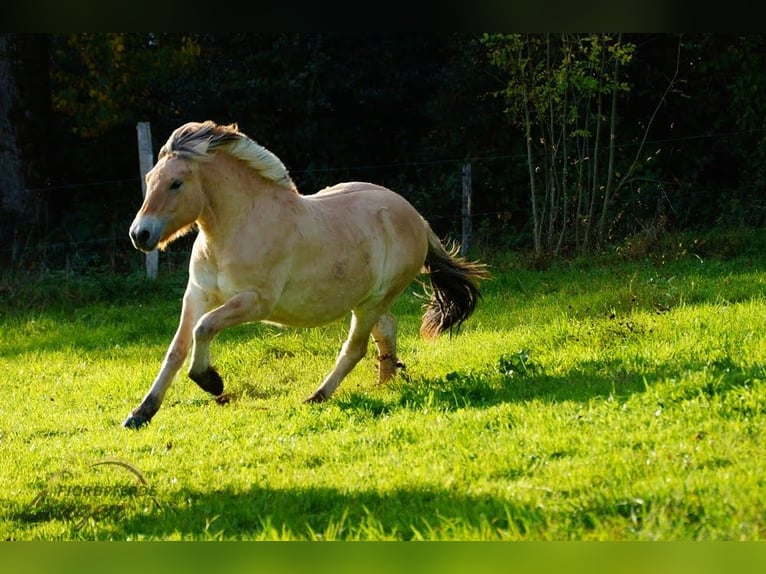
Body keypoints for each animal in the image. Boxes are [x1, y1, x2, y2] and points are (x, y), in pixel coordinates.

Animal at [123, 120, 489, 429]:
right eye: (149, 180)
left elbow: (204, 327)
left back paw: (318, 396)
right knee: (386, 330)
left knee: (355, 348)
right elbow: (177, 349)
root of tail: (417, 219)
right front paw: (141, 414)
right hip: (366, 301)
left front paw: (210, 381)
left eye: (176, 183)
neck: (238, 229)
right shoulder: (197, 294)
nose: (140, 234)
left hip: (371, 303)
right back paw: (384, 383)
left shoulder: (256, 302)